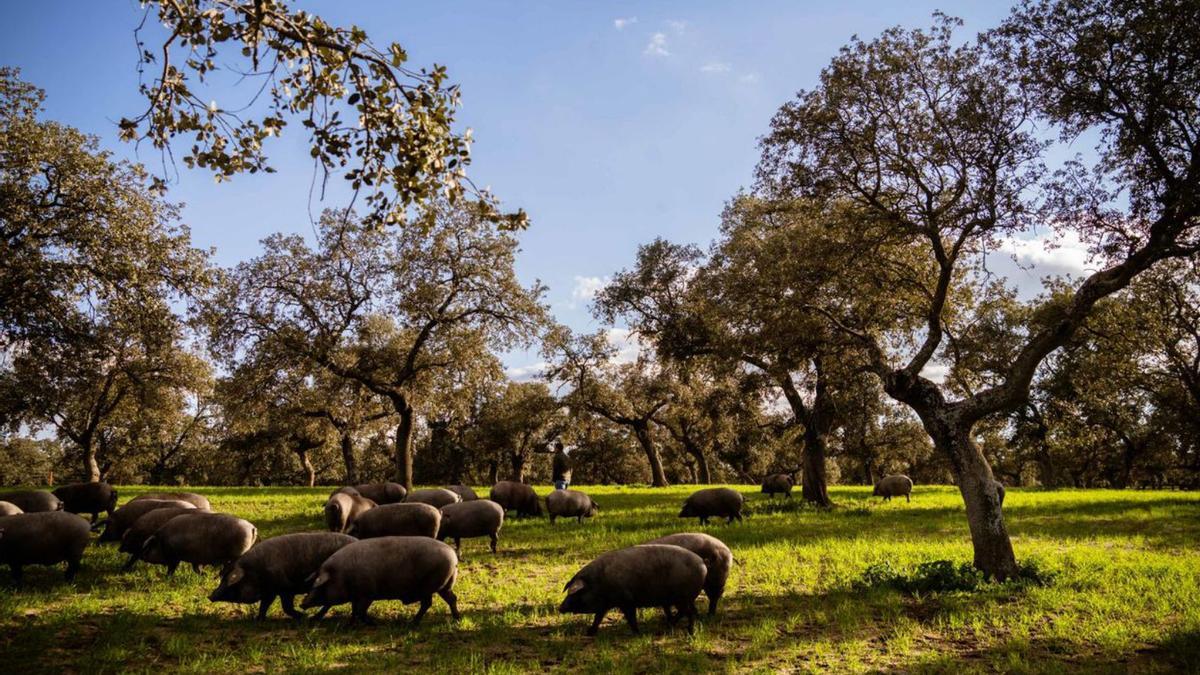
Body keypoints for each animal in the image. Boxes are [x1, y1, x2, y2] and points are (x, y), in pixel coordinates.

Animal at [210, 530, 355, 619]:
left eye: (229, 580)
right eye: (222, 578)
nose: (210, 596)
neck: (255, 571)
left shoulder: (285, 588)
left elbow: (286, 607)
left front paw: (303, 616)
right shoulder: (271, 591)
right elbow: (264, 605)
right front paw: (259, 619)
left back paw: (313, 617)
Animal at [300, 533, 463, 624]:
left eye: (319, 585)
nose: (302, 603)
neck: (341, 575)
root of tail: (453, 556)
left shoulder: (367, 593)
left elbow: (360, 610)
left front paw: (372, 623)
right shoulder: (356, 595)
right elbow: (352, 609)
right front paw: (350, 623)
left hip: (429, 585)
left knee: (427, 603)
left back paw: (413, 623)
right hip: (444, 585)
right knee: (451, 598)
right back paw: (457, 618)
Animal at [559, 538, 705, 634]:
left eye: (575, 593)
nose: (560, 607)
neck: (599, 582)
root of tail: (702, 563)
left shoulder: (627, 600)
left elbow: (631, 617)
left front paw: (637, 633)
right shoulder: (606, 604)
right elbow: (598, 617)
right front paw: (590, 632)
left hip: (682, 597)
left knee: (687, 612)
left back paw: (687, 630)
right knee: (688, 611)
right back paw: (672, 625)